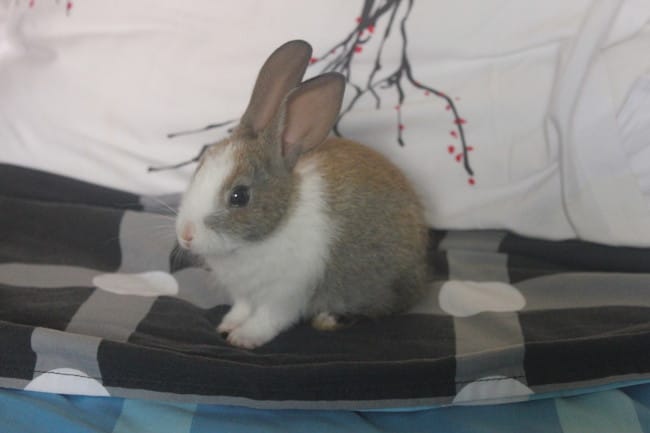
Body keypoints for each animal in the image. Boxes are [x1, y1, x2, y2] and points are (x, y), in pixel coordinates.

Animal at [175, 40, 430, 349]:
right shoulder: (244, 294)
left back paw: (329, 319)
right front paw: (228, 325)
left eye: (239, 196)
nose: (186, 235)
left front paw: (244, 338)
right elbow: (242, 309)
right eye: (200, 166)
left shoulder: (286, 295)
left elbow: (268, 319)